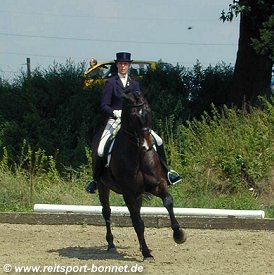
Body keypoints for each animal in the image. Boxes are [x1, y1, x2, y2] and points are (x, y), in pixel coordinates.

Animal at [92, 92, 186, 260]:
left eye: (148, 112)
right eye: (133, 116)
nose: (147, 145)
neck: (138, 155)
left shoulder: (157, 185)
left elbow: (168, 202)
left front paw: (179, 234)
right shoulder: (128, 193)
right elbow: (138, 223)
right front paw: (147, 253)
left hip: (139, 194)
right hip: (103, 186)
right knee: (107, 211)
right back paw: (111, 244)